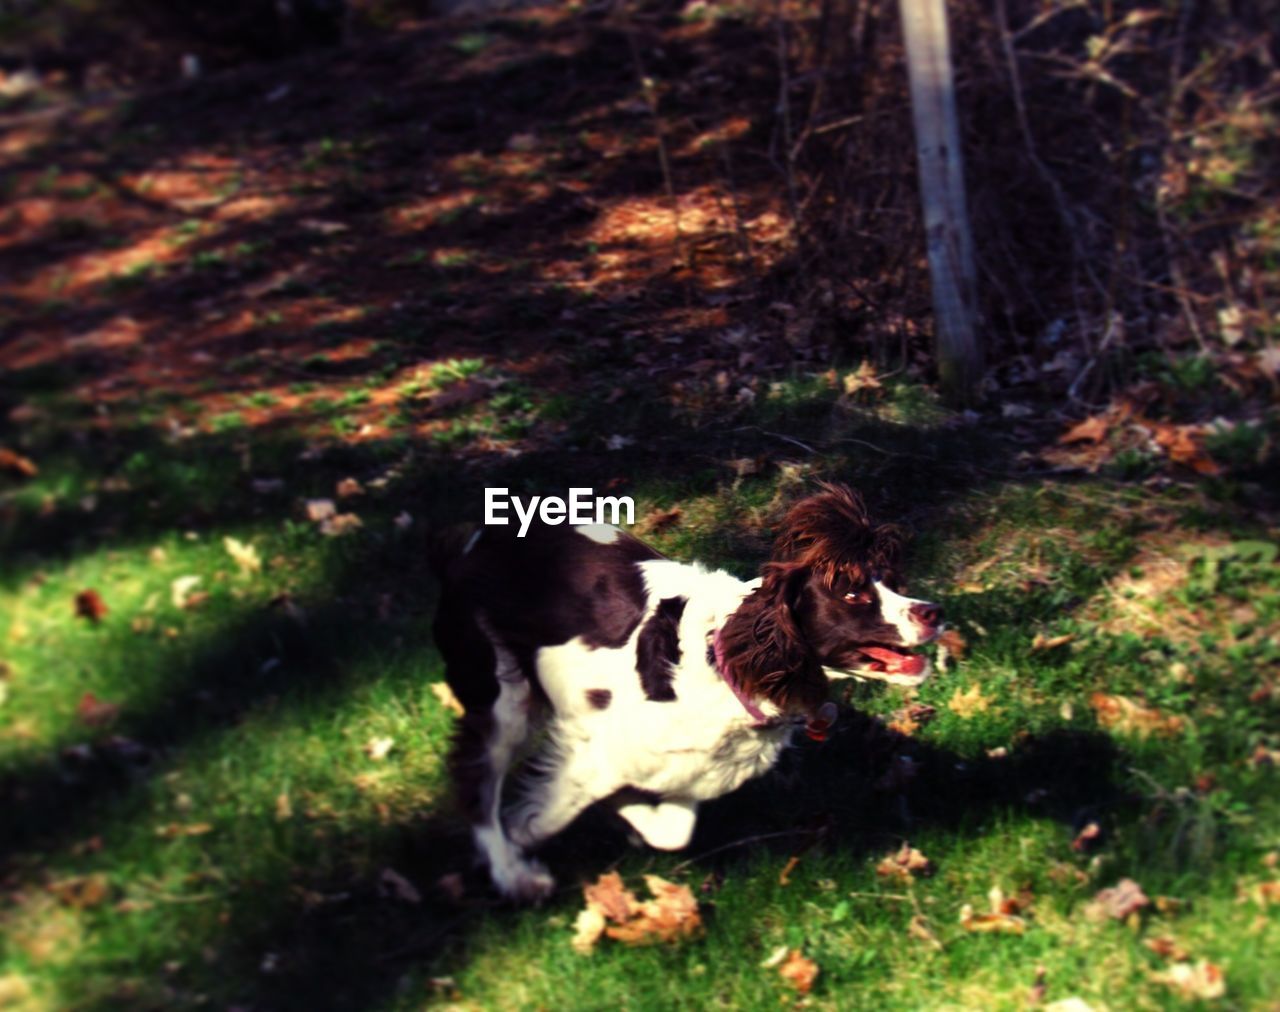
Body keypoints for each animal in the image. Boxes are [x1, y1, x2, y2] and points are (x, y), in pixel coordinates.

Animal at [430, 483, 942, 900]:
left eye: (892, 583)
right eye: (852, 594)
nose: (932, 612)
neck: (725, 662)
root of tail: (470, 543)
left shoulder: (693, 764)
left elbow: (673, 826)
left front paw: (626, 814)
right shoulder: (605, 743)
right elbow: (553, 809)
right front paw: (527, 829)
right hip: (502, 694)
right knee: (477, 782)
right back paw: (514, 875)